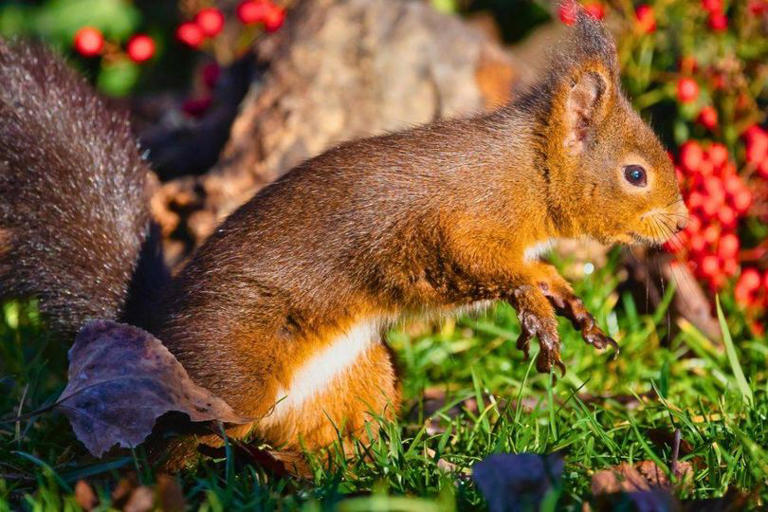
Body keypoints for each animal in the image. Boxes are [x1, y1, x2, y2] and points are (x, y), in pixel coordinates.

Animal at [0, 12, 688, 469]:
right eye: (635, 174)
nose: (679, 224)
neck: (528, 172)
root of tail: (152, 327)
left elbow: (536, 272)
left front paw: (567, 299)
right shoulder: (461, 222)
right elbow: (485, 266)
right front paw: (537, 311)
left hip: (360, 378)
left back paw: (341, 471)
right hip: (235, 371)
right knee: (180, 432)